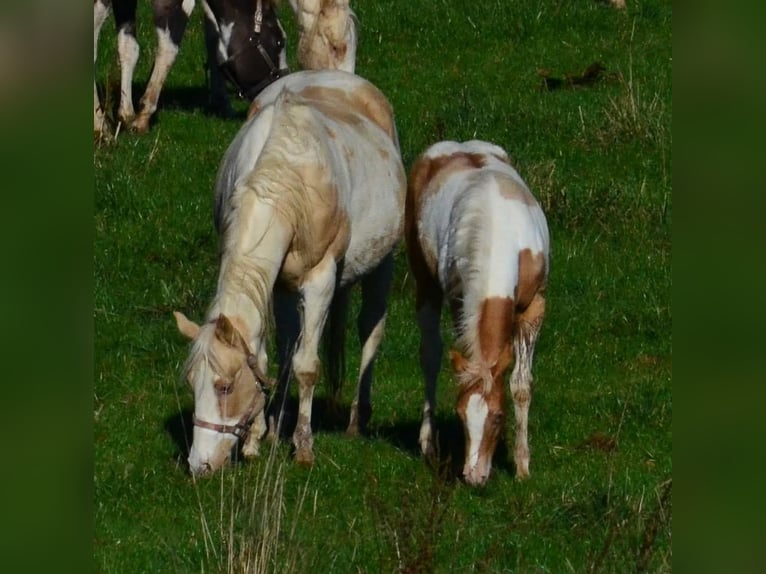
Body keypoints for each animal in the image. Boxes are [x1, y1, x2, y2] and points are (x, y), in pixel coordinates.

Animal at [93, 0, 288, 138]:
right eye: (280, 41)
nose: (280, 86)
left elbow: (129, 48)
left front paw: (126, 115)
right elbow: (169, 47)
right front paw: (137, 118)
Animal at [174, 69, 406, 476]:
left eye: (224, 387)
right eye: (191, 383)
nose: (199, 465)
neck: (282, 180)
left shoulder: (320, 280)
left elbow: (306, 365)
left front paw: (303, 445)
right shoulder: (275, 282)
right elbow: (275, 358)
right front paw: (262, 434)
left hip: (383, 262)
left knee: (370, 329)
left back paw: (357, 419)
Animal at [405, 140, 550, 486]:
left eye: (497, 417)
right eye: (460, 415)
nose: (473, 476)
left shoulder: (533, 308)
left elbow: (520, 386)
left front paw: (522, 466)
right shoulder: (460, 304)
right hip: (426, 287)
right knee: (430, 356)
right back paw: (428, 443)